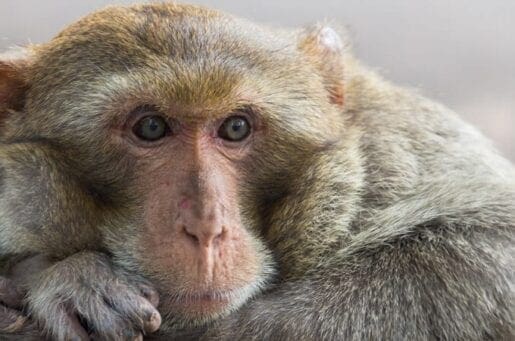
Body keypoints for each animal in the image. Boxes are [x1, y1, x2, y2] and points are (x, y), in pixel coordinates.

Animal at [0, 2, 512, 340]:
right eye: (151, 127)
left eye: (236, 127)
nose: (206, 227)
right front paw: (69, 278)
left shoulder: (395, 147)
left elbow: (488, 240)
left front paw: (54, 279)